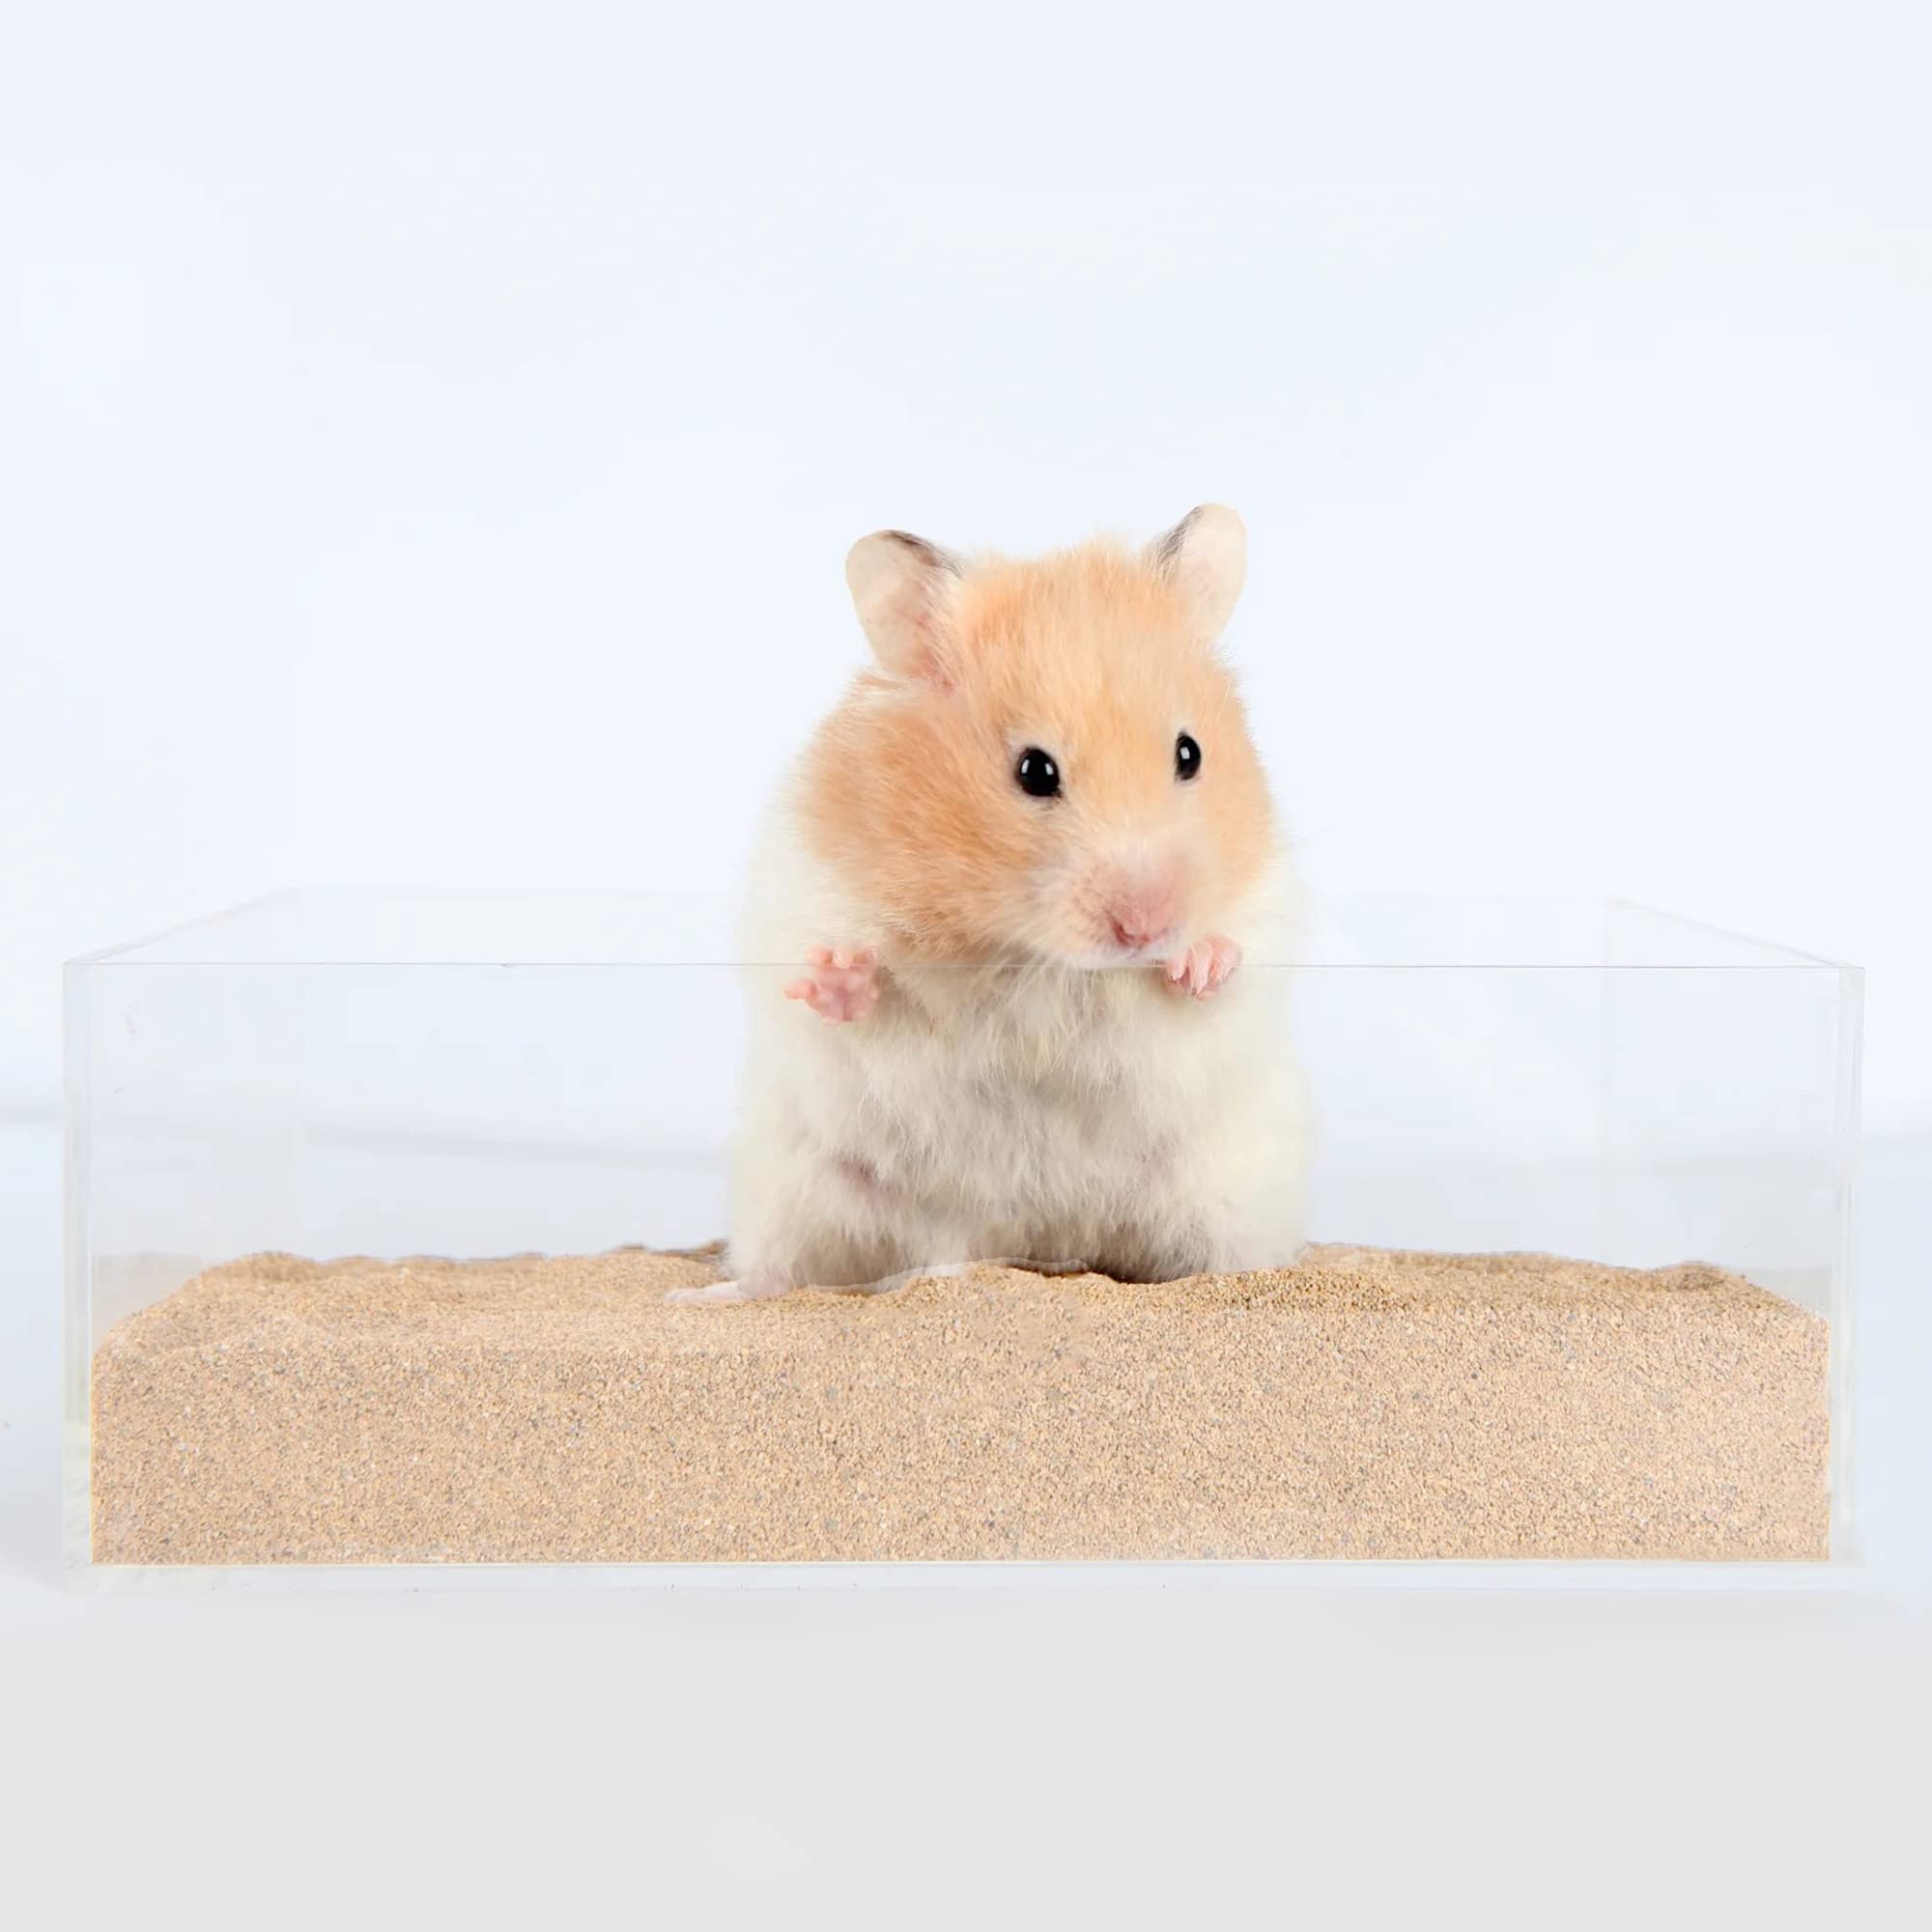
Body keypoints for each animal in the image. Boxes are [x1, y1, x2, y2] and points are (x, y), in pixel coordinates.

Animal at [668, 504, 1307, 1305]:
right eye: (1034, 771)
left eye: (1189, 754)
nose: (1145, 927)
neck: (1032, 954)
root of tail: (1030, 1244)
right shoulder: (805, 890)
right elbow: (853, 985)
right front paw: (838, 974)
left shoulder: (1265, 907)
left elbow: (1236, 964)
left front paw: (1199, 960)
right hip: (793, 1188)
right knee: (786, 1268)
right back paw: (704, 1295)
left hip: (1232, 1187)